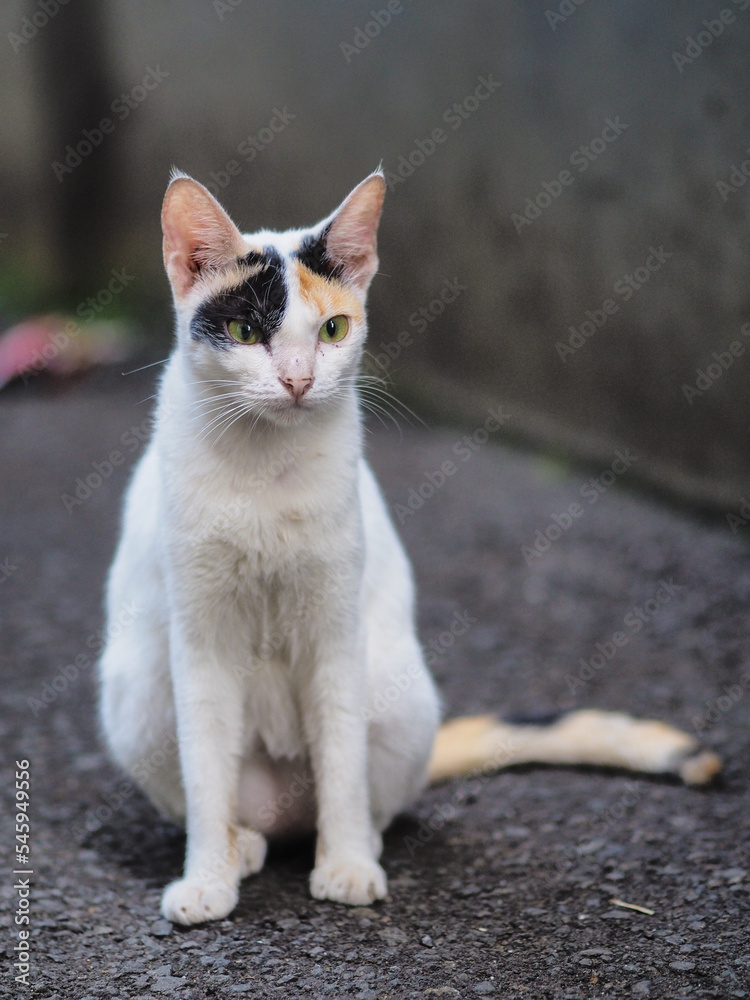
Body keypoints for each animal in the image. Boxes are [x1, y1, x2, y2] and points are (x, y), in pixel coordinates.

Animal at [97, 168, 720, 924]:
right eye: (246, 331)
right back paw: (243, 844)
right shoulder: (201, 638)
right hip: (138, 696)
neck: (267, 466)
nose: (299, 379)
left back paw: (351, 838)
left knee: (367, 797)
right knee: (220, 796)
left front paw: (346, 867)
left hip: (397, 689)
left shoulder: (338, 631)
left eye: (333, 329)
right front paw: (207, 879)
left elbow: (342, 760)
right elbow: (206, 767)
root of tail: (284, 811)